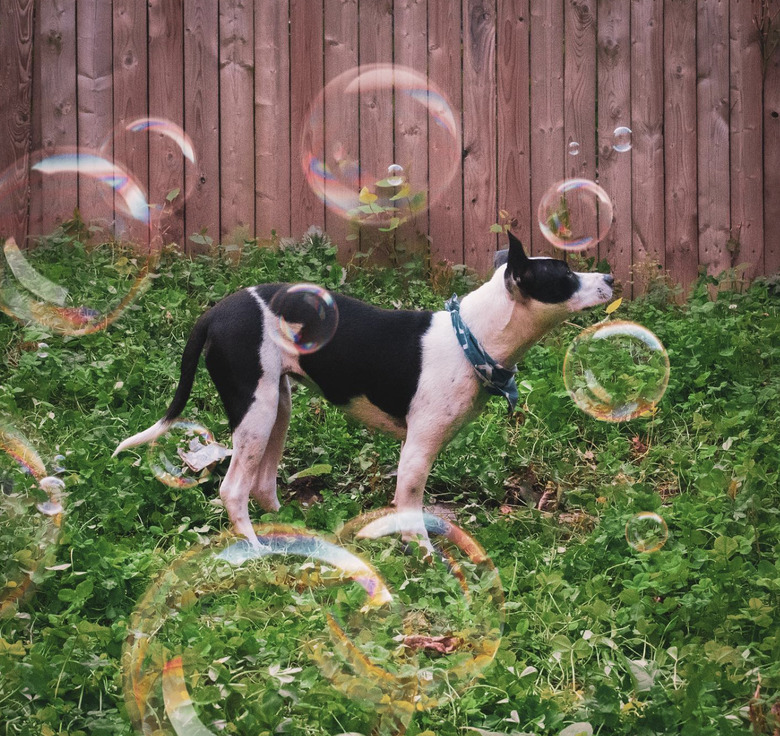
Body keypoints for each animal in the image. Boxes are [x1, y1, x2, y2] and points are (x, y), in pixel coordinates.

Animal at [114, 233, 616, 548]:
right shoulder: (416, 452)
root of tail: (214, 313)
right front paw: (424, 556)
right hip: (255, 408)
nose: (610, 278)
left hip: (277, 408)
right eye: (565, 277)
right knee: (233, 489)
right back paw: (255, 549)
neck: (469, 337)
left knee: (262, 483)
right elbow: (410, 508)